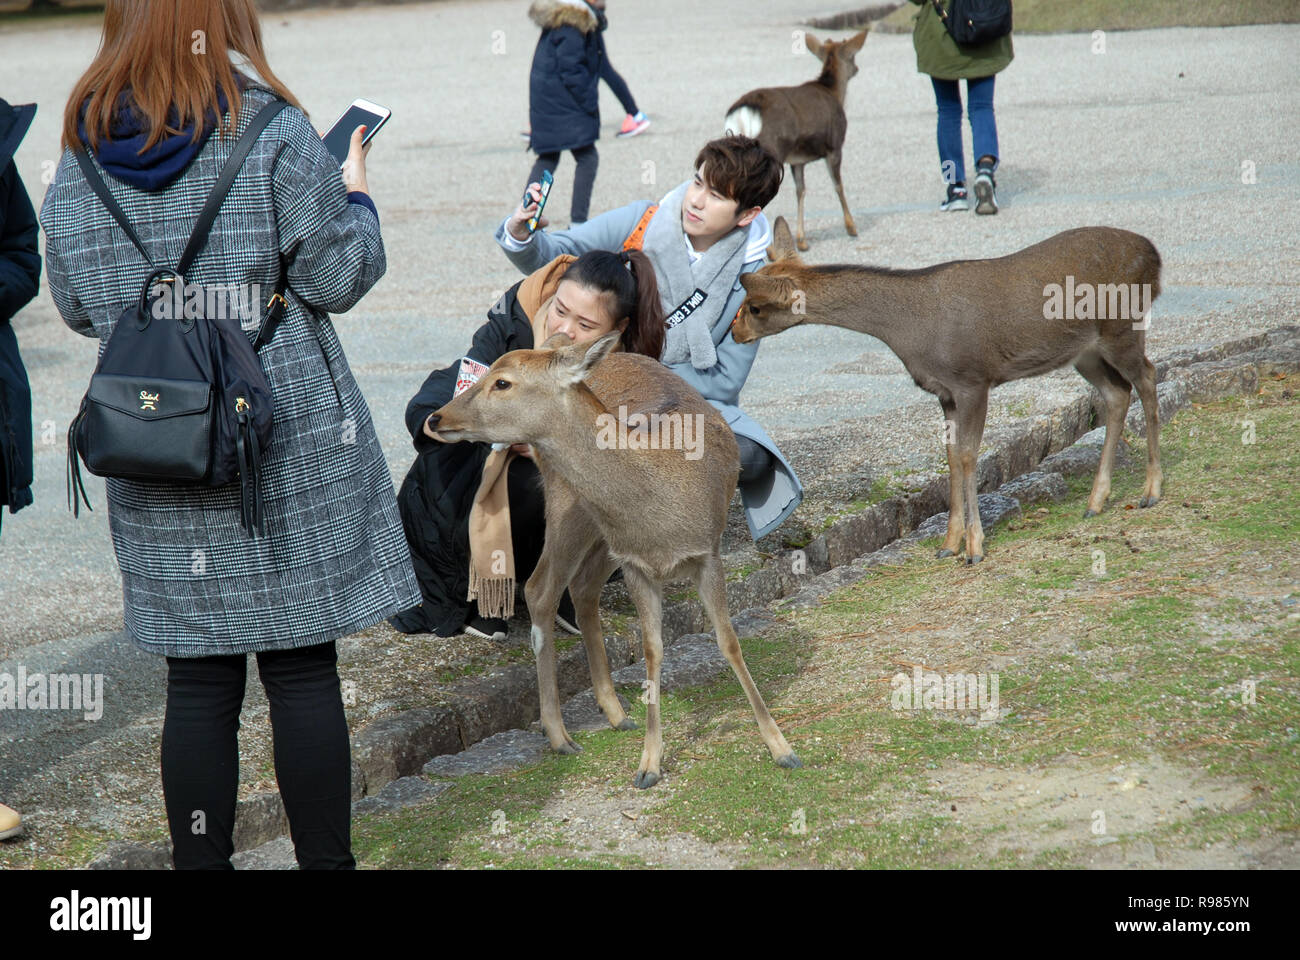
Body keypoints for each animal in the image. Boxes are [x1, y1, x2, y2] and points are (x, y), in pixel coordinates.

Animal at [426, 330, 795, 785]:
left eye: (503, 382)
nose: (436, 418)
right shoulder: (637, 564)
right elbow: (653, 649)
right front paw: (649, 765)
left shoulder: (706, 551)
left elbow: (727, 641)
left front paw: (782, 748)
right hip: (569, 504)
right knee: (542, 587)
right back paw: (560, 735)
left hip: (599, 531)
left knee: (580, 587)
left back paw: (616, 713)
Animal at [728, 29, 868, 252]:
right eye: (852, 55)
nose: (856, 68)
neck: (834, 93)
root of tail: (745, 110)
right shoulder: (835, 146)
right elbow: (838, 185)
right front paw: (851, 227)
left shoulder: (798, 160)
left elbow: (800, 191)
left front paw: (802, 240)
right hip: (771, 149)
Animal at [733, 217, 1170, 561]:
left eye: (755, 307)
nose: (735, 332)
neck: (908, 330)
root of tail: (1155, 256)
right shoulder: (944, 393)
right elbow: (950, 457)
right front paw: (948, 543)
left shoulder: (972, 379)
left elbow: (968, 456)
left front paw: (975, 547)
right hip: (1085, 352)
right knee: (1117, 393)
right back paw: (1097, 501)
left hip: (1122, 327)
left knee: (1148, 377)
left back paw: (1150, 490)